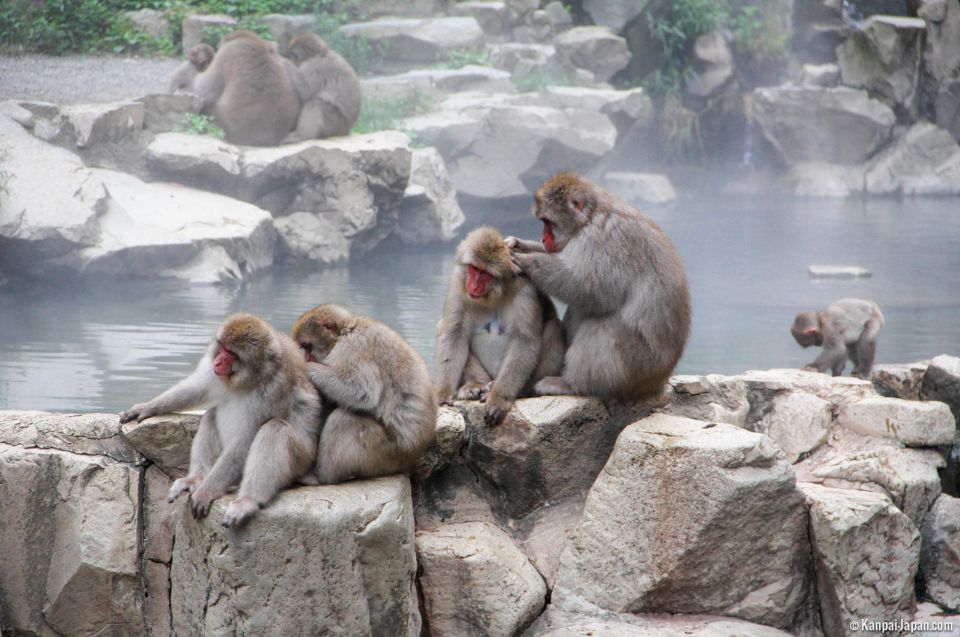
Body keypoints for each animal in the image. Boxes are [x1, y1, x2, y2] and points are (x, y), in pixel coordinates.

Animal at [119, 313, 320, 527]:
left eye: (232, 354)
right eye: (222, 347)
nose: (218, 361)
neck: (250, 379)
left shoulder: (276, 390)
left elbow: (245, 441)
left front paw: (207, 492)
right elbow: (197, 388)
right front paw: (146, 407)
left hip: (301, 461)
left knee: (275, 429)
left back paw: (246, 501)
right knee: (211, 415)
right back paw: (196, 479)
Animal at [292, 304, 436, 484]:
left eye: (307, 346)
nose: (306, 357)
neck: (345, 331)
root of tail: (414, 454)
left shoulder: (353, 346)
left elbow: (363, 392)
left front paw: (308, 368)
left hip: (385, 453)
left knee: (345, 419)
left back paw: (322, 477)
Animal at [435, 226, 565, 426]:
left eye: (485, 274)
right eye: (474, 269)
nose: (473, 286)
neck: (493, 294)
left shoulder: (525, 290)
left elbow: (524, 340)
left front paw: (498, 399)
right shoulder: (459, 282)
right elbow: (454, 334)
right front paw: (442, 394)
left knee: (553, 327)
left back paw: (513, 390)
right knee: (443, 327)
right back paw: (476, 384)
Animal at [507, 172, 692, 401]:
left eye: (548, 222)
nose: (543, 238)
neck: (591, 215)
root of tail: (656, 383)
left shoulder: (604, 238)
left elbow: (589, 288)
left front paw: (525, 259)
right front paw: (516, 244)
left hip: (637, 366)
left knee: (604, 324)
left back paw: (571, 383)